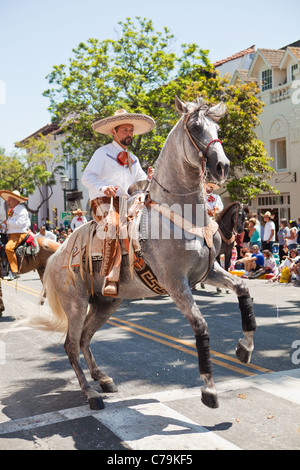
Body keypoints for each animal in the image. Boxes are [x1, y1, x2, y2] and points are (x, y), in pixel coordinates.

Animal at [26, 97, 255, 410]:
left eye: (217, 128)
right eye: (196, 127)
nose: (222, 166)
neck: (183, 215)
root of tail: (55, 255)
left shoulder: (209, 272)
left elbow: (243, 289)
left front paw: (245, 348)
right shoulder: (175, 283)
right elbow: (201, 325)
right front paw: (209, 390)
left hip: (105, 304)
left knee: (84, 339)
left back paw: (103, 379)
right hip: (76, 304)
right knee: (71, 345)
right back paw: (90, 393)